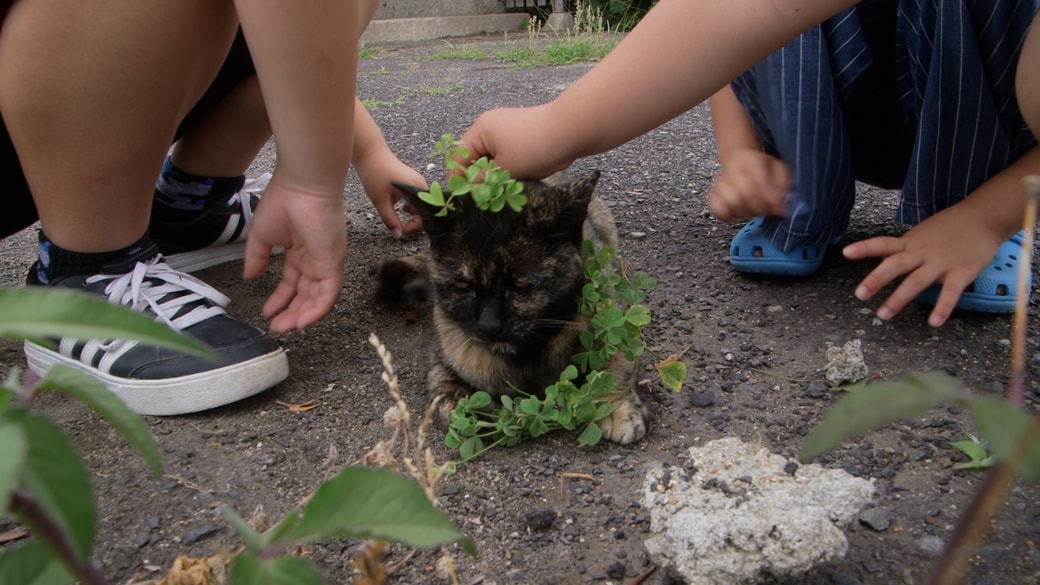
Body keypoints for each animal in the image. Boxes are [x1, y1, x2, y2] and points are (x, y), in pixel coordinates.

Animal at [376, 170, 648, 443]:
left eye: (520, 283)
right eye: (462, 284)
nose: (488, 324)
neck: (527, 355)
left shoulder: (613, 322)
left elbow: (617, 364)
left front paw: (619, 409)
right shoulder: (445, 350)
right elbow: (446, 392)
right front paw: (469, 410)